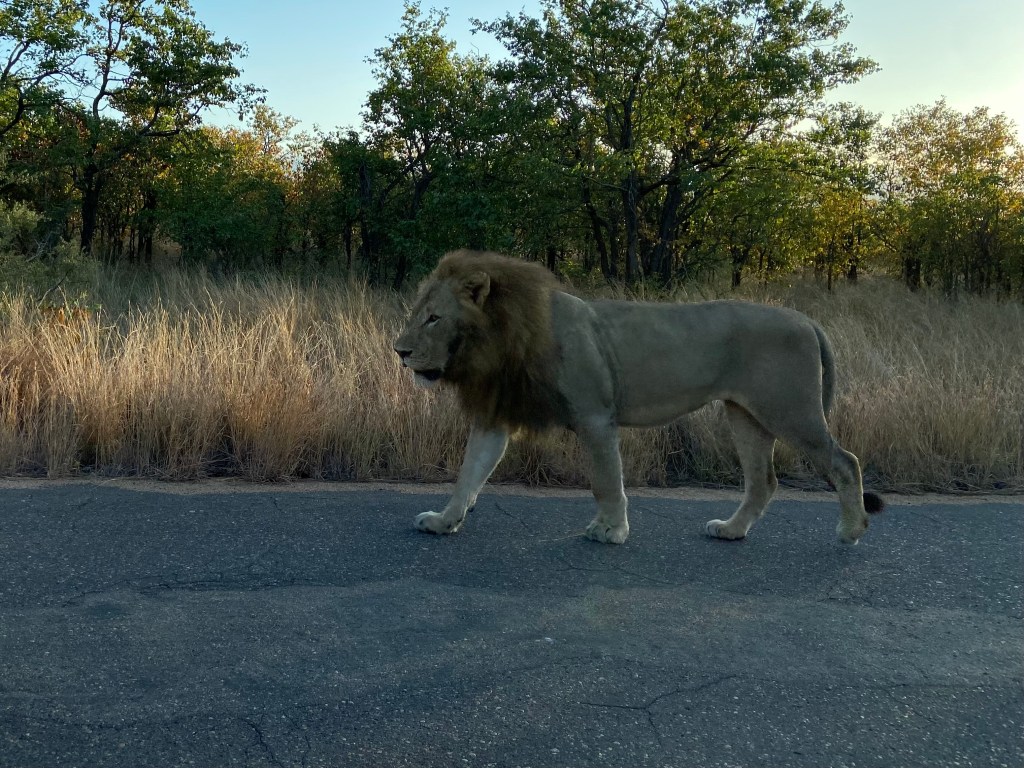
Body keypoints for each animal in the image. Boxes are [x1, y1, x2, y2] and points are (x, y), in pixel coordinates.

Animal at [394, 249, 883, 545]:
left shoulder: (596, 417)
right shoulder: (496, 417)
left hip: (790, 411)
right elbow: (468, 475)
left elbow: (606, 480)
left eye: (434, 318)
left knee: (845, 462)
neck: (500, 339)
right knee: (763, 480)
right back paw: (730, 530)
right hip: (746, 415)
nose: (399, 351)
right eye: (417, 315)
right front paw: (443, 521)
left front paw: (611, 531)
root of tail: (806, 319)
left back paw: (851, 529)